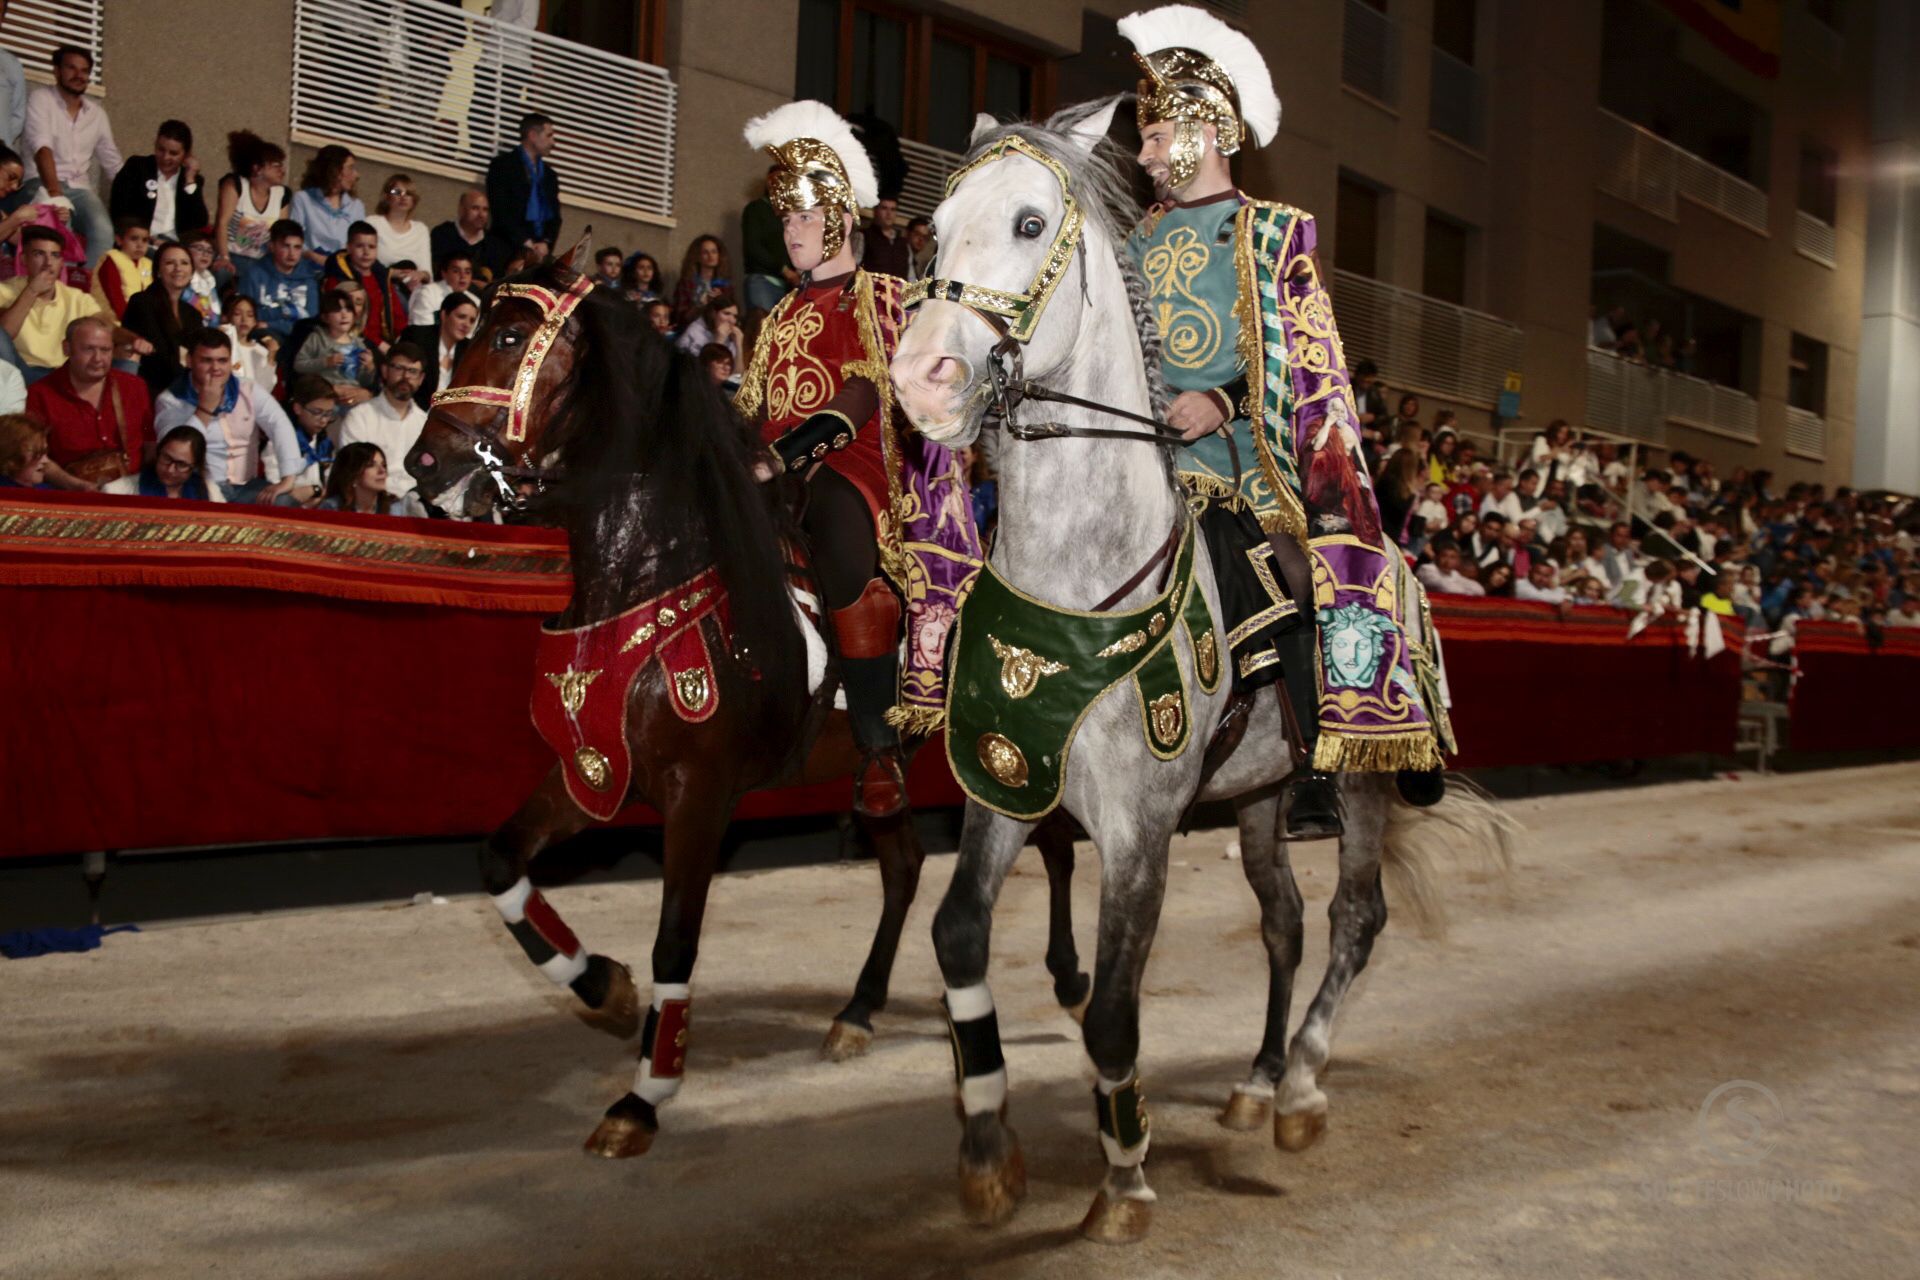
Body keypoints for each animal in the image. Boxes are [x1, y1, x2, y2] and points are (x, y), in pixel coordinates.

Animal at [401, 247, 1098, 1159]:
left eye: (513, 336)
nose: (424, 464)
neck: (653, 567)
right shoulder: (596, 773)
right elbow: (499, 863)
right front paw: (604, 988)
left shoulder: (701, 794)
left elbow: (676, 940)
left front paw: (644, 1094)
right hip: (888, 770)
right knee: (906, 865)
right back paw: (858, 1010)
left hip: (993, 757)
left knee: (1053, 845)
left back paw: (1072, 980)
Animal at [894, 100, 1512, 1243]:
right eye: (936, 226)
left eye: (1030, 222)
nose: (923, 377)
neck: (1081, 580)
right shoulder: (1004, 784)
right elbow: (958, 936)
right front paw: (987, 1144)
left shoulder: (1139, 831)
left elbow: (1112, 1008)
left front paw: (1124, 1176)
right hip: (1264, 795)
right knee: (1285, 920)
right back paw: (1259, 1080)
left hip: (1362, 782)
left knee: (1355, 919)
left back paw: (1302, 1085)